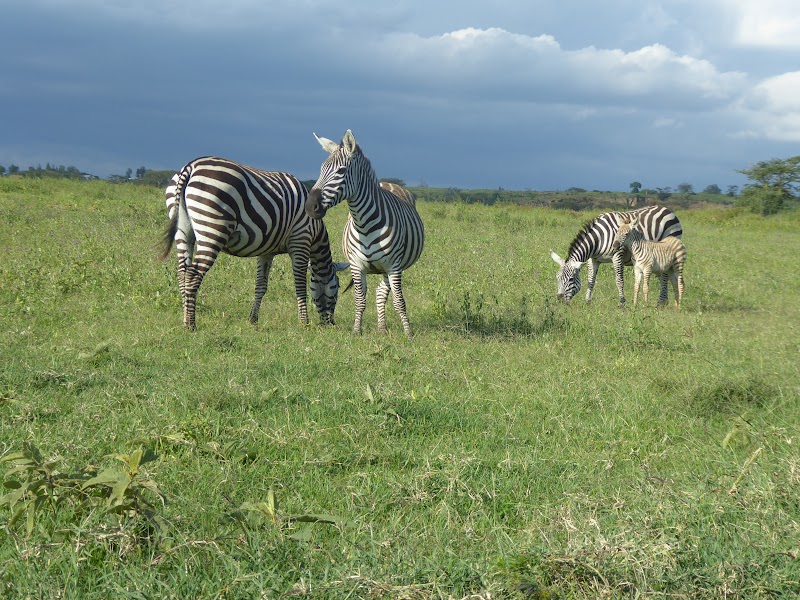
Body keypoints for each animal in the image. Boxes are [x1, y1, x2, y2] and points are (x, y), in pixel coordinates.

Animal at [159, 157, 346, 330]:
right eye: (336, 287)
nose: (331, 324)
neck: (315, 231)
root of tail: (191, 166)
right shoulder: (300, 240)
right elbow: (300, 284)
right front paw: (304, 322)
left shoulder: (267, 251)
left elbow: (261, 286)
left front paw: (253, 320)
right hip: (212, 230)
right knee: (192, 275)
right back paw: (191, 325)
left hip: (183, 232)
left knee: (182, 275)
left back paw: (184, 320)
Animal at [304, 130, 424, 338]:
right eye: (321, 169)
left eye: (341, 171)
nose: (311, 207)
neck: (364, 224)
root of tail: (387, 183)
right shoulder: (356, 265)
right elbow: (360, 299)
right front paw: (356, 330)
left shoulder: (394, 265)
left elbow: (399, 301)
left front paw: (409, 334)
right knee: (380, 292)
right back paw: (382, 328)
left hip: (390, 267)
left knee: (383, 293)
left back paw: (383, 328)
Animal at [552, 207, 680, 310]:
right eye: (557, 277)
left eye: (571, 279)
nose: (559, 300)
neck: (598, 239)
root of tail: (667, 209)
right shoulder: (593, 259)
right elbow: (591, 280)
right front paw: (587, 301)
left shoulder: (617, 255)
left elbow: (619, 281)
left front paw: (622, 304)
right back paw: (663, 302)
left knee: (665, 276)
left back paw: (661, 302)